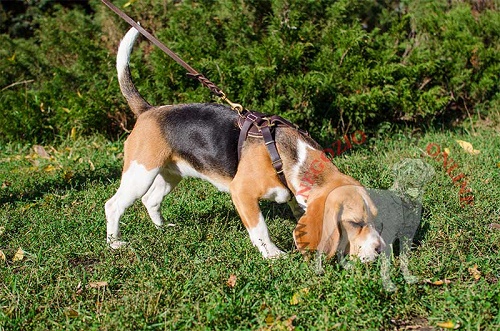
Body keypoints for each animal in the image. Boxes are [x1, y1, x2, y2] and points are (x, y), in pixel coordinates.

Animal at [105, 27, 384, 262]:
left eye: (375, 219)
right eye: (355, 223)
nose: (381, 250)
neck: (287, 154)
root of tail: (148, 110)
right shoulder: (242, 193)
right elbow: (260, 228)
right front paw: (273, 254)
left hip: (170, 174)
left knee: (150, 200)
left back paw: (163, 228)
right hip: (140, 173)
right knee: (114, 205)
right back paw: (115, 243)